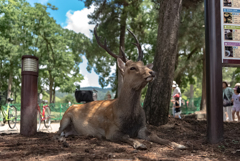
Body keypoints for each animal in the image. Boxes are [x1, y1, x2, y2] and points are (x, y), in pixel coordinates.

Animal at [55, 24, 187, 150]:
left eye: (144, 64)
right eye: (132, 67)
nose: (152, 72)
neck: (129, 118)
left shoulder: (143, 127)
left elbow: (156, 135)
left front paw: (179, 145)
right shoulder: (110, 130)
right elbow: (126, 136)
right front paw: (140, 144)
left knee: (64, 133)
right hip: (65, 118)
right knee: (57, 133)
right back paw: (62, 140)